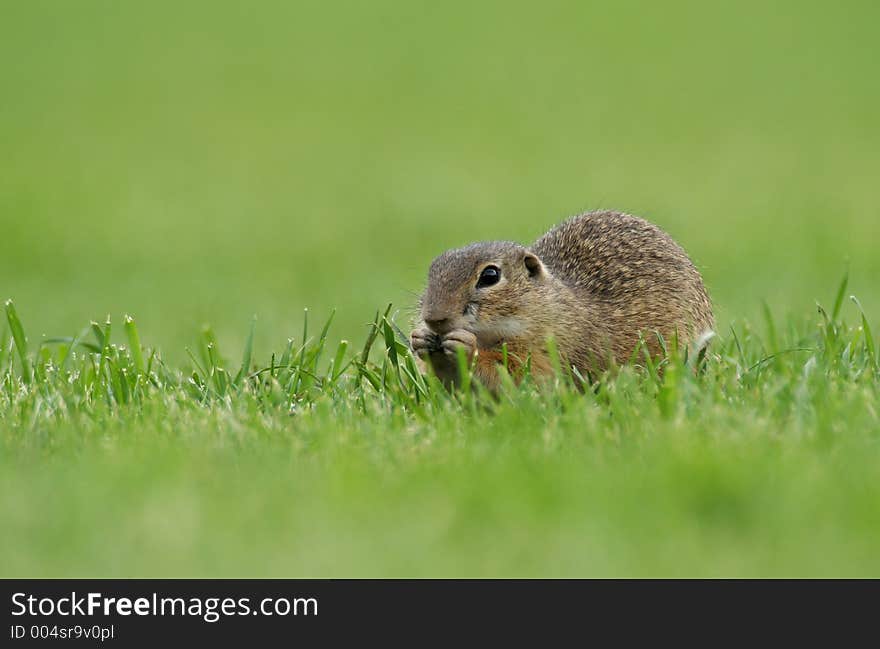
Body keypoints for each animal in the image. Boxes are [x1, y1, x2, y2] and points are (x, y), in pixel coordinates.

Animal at [412, 210, 716, 388]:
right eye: (433, 269)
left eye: (490, 276)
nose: (434, 318)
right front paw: (421, 340)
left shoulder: (550, 348)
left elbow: (521, 375)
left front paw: (466, 347)